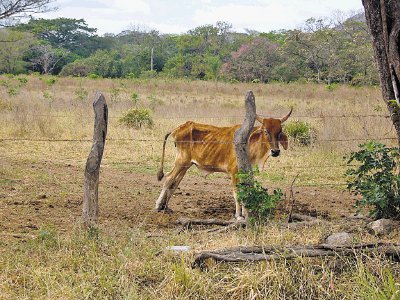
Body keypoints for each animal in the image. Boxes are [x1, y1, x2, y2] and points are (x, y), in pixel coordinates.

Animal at [155, 109, 290, 219]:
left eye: (279, 132)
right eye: (266, 131)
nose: (275, 151)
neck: (249, 143)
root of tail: (178, 128)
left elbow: (244, 191)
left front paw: (245, 213)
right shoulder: (234, 172)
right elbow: (236, 193)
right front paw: (238, 216)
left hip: (186, 165)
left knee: (175, 183)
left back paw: (165, 207)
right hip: (181, 161)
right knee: (169, 178)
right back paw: (158, 205)